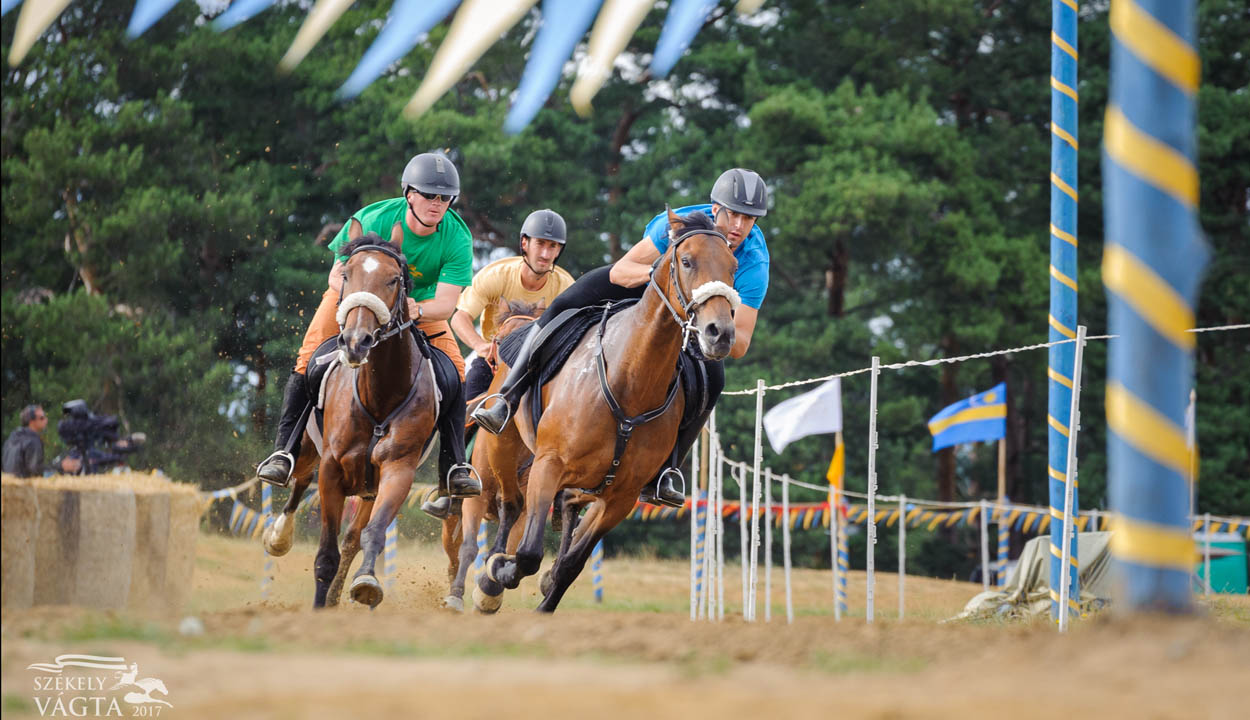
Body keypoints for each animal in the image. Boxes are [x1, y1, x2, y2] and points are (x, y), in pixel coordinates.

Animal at [262, 220, 440, 607]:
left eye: (394, 279)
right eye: (347, 273)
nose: (356, 342)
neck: (379, 396)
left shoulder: (397, 470)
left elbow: (370, 535)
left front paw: (366, 583)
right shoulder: (331, 470)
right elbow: (325, 555)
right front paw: (319, 604)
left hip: (368, 488)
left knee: (353, 538)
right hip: (308, 450)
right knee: (298, 481)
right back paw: (279, 536)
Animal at [472, 207, 735, 612]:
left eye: (734, 266)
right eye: (687, 261)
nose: (719, 333)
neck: (630, 383)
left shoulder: (621, 497)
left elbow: (571, 564)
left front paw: (545, 601)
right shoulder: (549, 465)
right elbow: (529, 552)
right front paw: (502, 570)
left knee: (562, 509)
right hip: (503, 444)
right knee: (511, 503)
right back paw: (491, 578)